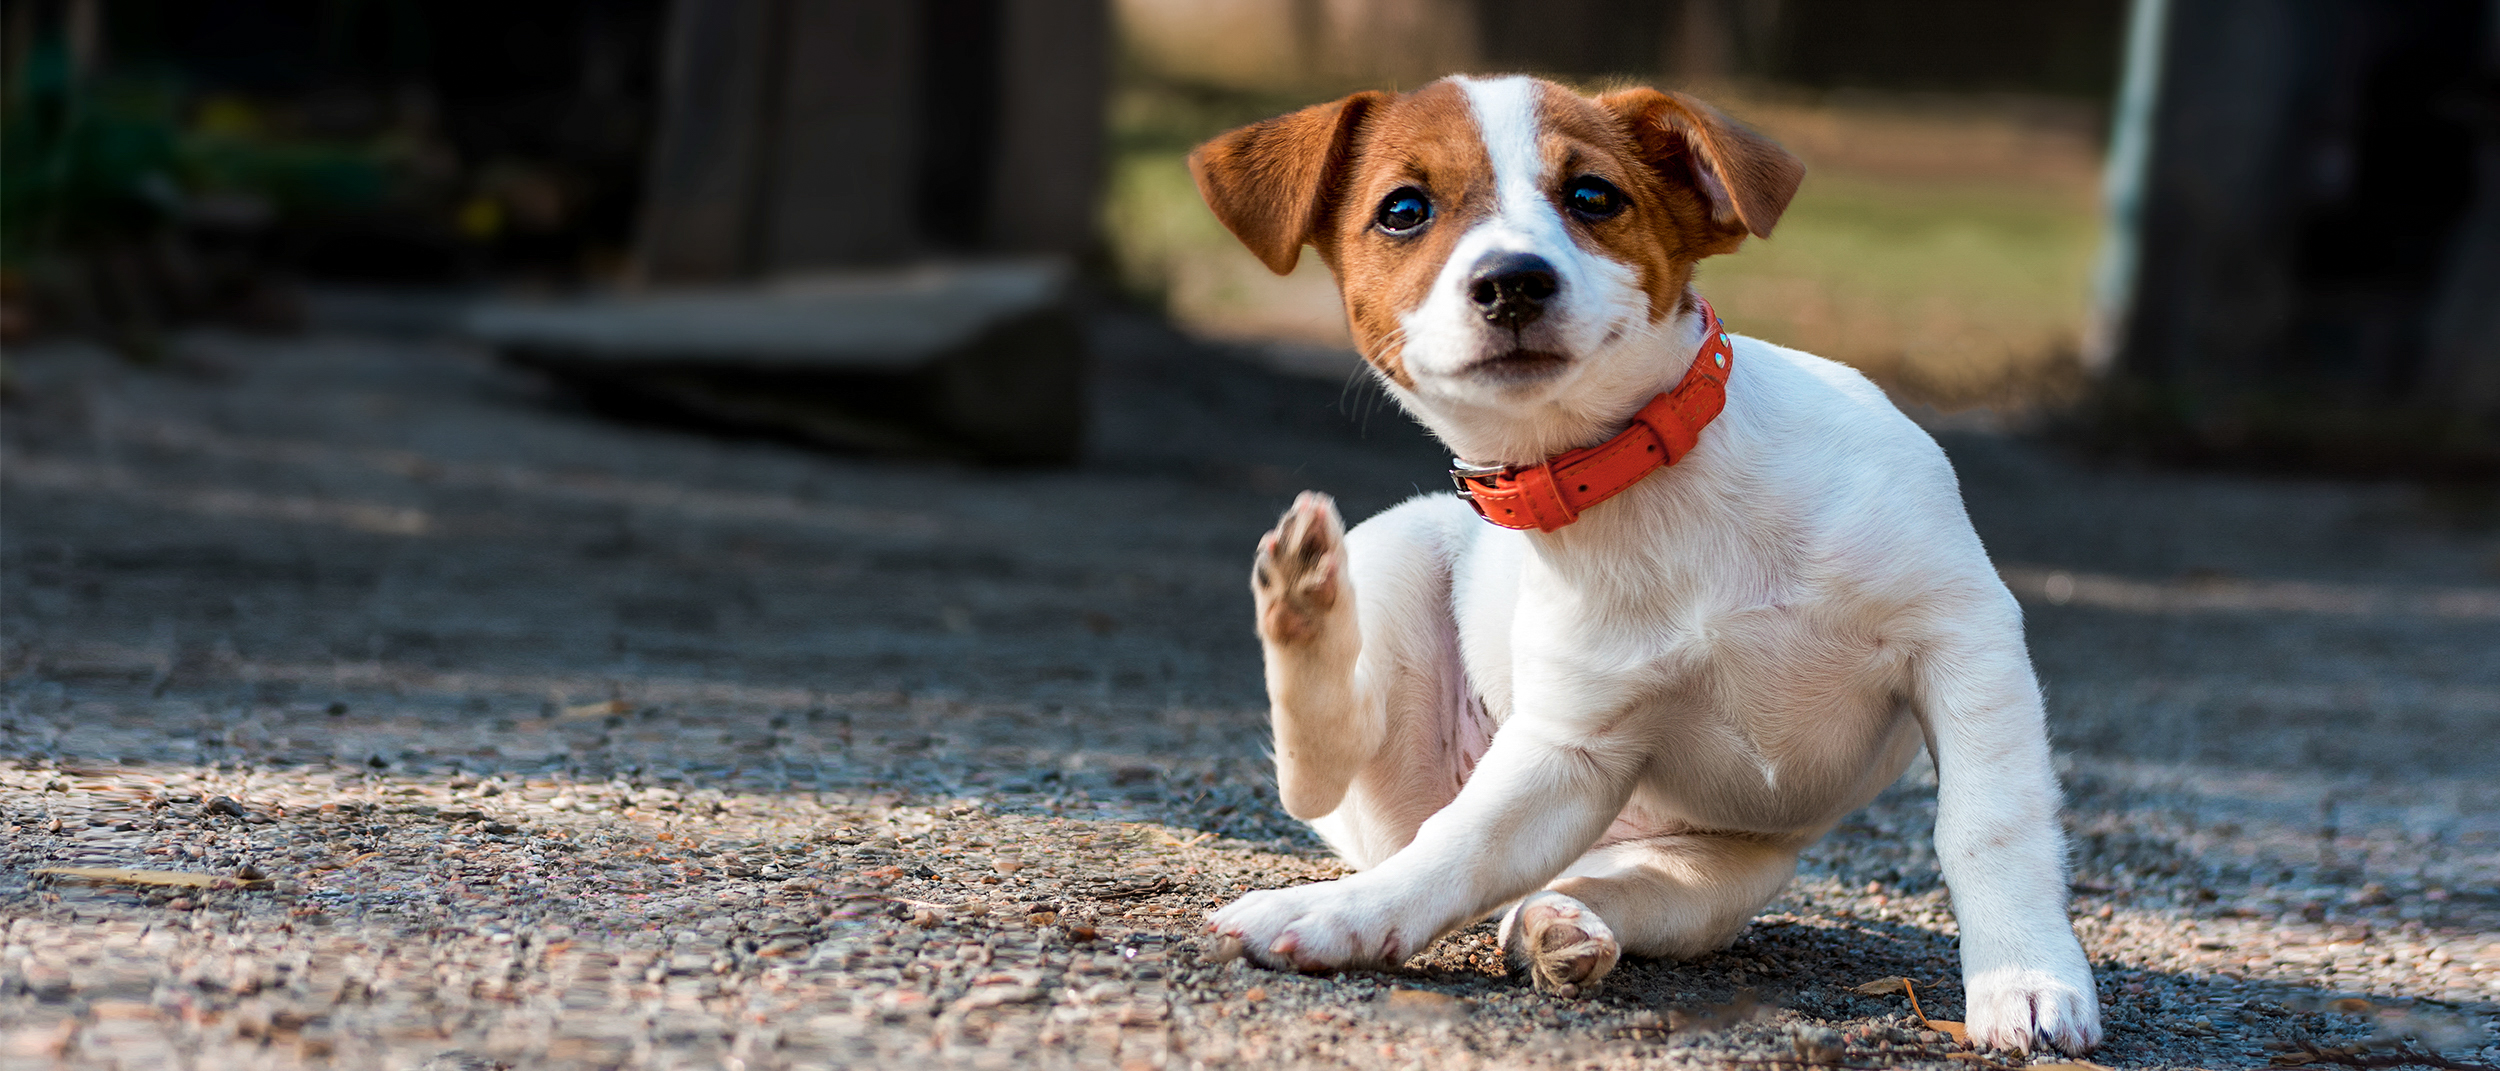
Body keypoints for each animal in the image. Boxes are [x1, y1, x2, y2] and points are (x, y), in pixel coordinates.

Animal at [1180, 77, 2100, 1055]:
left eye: (1593, 195)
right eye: (1403, 210)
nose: (1512, 281)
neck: (1649, 484)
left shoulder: (1964, 638)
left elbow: (1988, 824)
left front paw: (2025, 976)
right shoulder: (1572, 748)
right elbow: (1453, 851)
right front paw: (1339, 917)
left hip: (1713, 879)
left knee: (1562, 885)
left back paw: (1560, 922)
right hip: (1399, 574)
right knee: (1333, 777)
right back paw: (1305, 600)